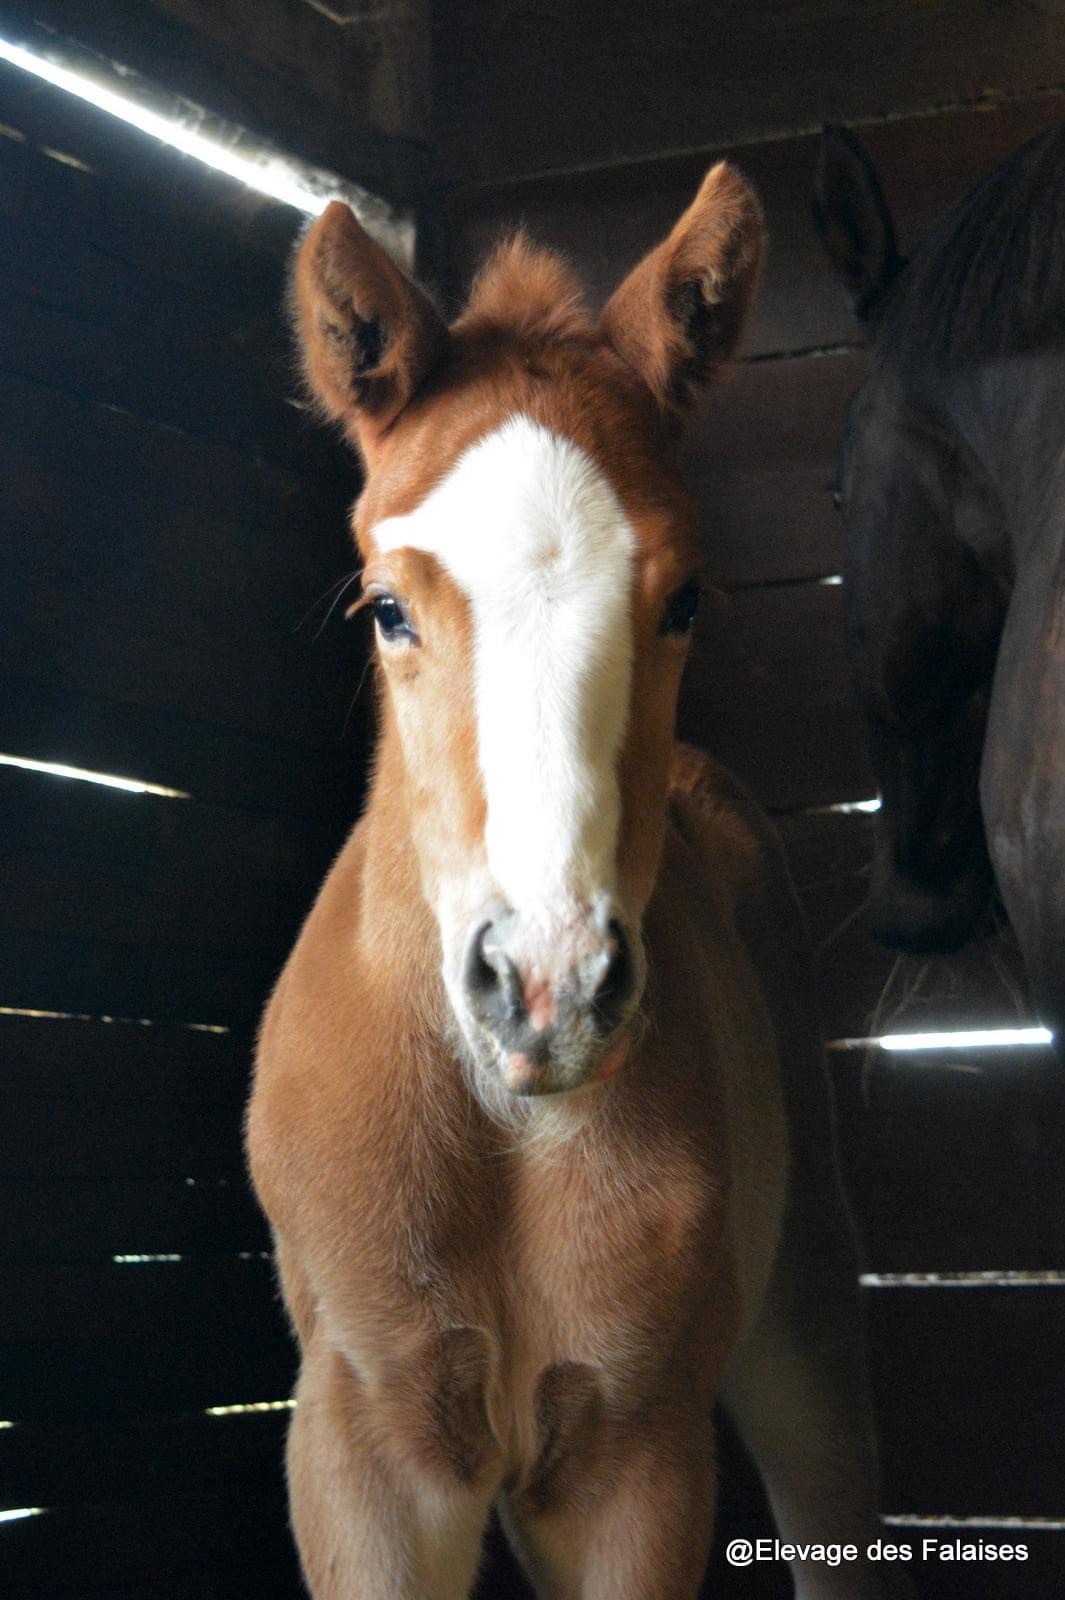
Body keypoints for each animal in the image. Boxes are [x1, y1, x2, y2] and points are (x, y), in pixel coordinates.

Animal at [246, 165, 901, 1600]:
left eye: (686, 598)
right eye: (387, 607)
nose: (548, 988)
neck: (504, 1137)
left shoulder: (632, 1458)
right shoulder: (362, 1456)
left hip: (810, 1326)